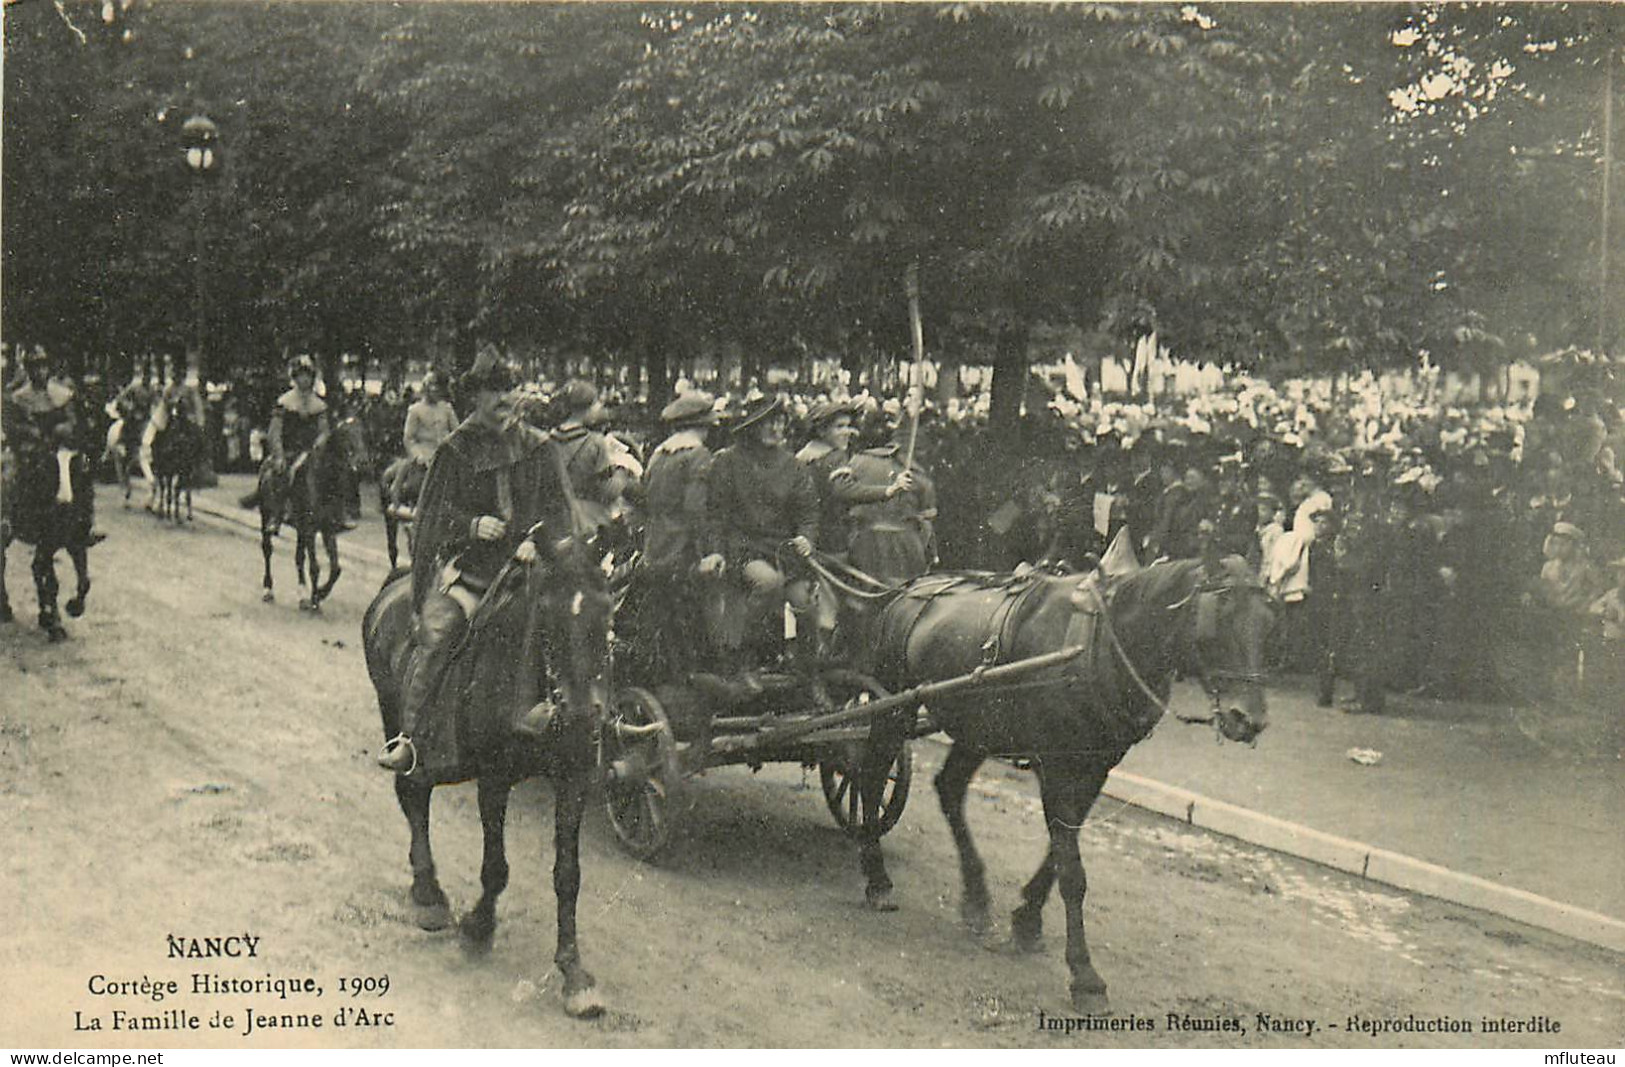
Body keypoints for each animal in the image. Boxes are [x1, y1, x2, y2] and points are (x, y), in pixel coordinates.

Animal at [362, 516, 614, 1013]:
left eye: (607, 615)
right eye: (549, 617)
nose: (582, 717)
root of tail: (396, 583)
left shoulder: (574, 779)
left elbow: (568, 876)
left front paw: (574, 974)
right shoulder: (494, 778)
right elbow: (496, 867)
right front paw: (478, 927)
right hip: (393, 713)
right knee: (412, 796)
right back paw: (428, 894)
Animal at [858, 548, 1274, 1006]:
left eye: (1268, 621)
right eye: (1220, 615)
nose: (1249, 719)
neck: (1101, 644)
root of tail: (909, 588)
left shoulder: (1096, 767)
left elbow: (1059, 855)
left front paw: (1027, 919)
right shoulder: (1057, 767)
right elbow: (1072, 872)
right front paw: (1084, 974)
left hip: (978, 723)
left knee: (949, 788)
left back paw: (976, 898)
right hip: (894, 705)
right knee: (872, 776)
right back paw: (876, 877)